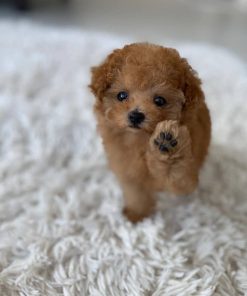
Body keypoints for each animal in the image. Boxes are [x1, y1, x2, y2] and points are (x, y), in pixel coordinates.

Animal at [89, 42, 211, 222]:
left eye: (159, 100)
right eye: (121, 95)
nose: (135, 115)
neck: (140, 140)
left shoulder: (184, 180)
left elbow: (175, 172)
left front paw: (168, 145)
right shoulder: (129, 172)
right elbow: (136, 194)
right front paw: (136, 214)